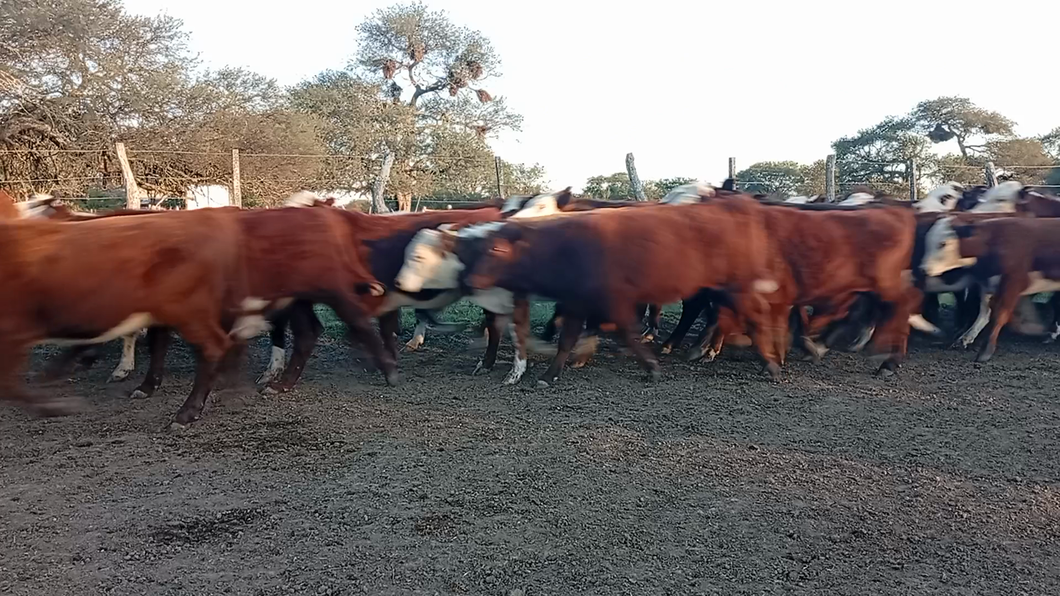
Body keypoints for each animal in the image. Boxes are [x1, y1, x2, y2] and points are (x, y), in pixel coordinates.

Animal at [465, 199, 785, 387]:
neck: (564, 246)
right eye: (479, 247)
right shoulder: (577, 302)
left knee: (754, 315)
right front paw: (555, 370)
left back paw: (768, 362)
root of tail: (734, 203)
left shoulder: (613, 301)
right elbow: (568, 338)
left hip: (735, 287)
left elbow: (624, 333)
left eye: (497, 249)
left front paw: (650, 366)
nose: (469, 279)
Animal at [920, 215, 1060, 362]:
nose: (922, 269)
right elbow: (984, 313)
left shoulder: (1014, 282)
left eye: (943, 243)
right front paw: (964, 339)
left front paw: (986, 351)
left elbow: (1000, 315)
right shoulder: (988, 285)